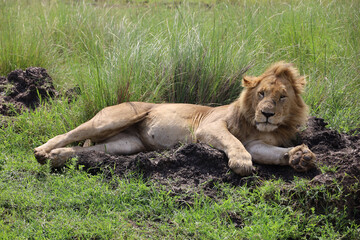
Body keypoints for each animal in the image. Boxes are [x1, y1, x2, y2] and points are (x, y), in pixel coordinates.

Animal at [33, 61, 316, 176]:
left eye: (282, 97)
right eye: (261, 94)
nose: (267, 114)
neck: (254, 123)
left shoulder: (256, 143)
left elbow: (272, 154)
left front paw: (299, 157)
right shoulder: (208, 127)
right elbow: (232, 142)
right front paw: (241, 162)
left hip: (126, 143)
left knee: (89, 150)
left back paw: (57, 157)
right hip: (112, 119)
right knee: (66, 134)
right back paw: (42, 152)